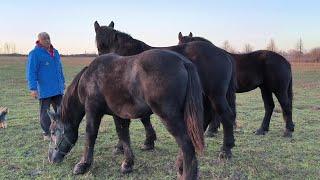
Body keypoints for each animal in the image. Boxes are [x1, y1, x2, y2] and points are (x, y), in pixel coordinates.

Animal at [46, 48, 204, 179]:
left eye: (53, 132)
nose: (51, 159)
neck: (89, 78)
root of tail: (183, 62)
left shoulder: (92, 110)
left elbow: (90, 135)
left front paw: (83, 164)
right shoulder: (119, 114)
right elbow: (123, 134)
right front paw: (127, 163)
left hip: (169, 117)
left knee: (186, 144)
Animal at [94, 21, 236, 158]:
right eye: (98, 45)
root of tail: (223, 53)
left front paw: (121, 147)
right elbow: (144, 119)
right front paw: (149, 142)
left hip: (216, 95)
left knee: (226, 115)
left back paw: (226, 150)